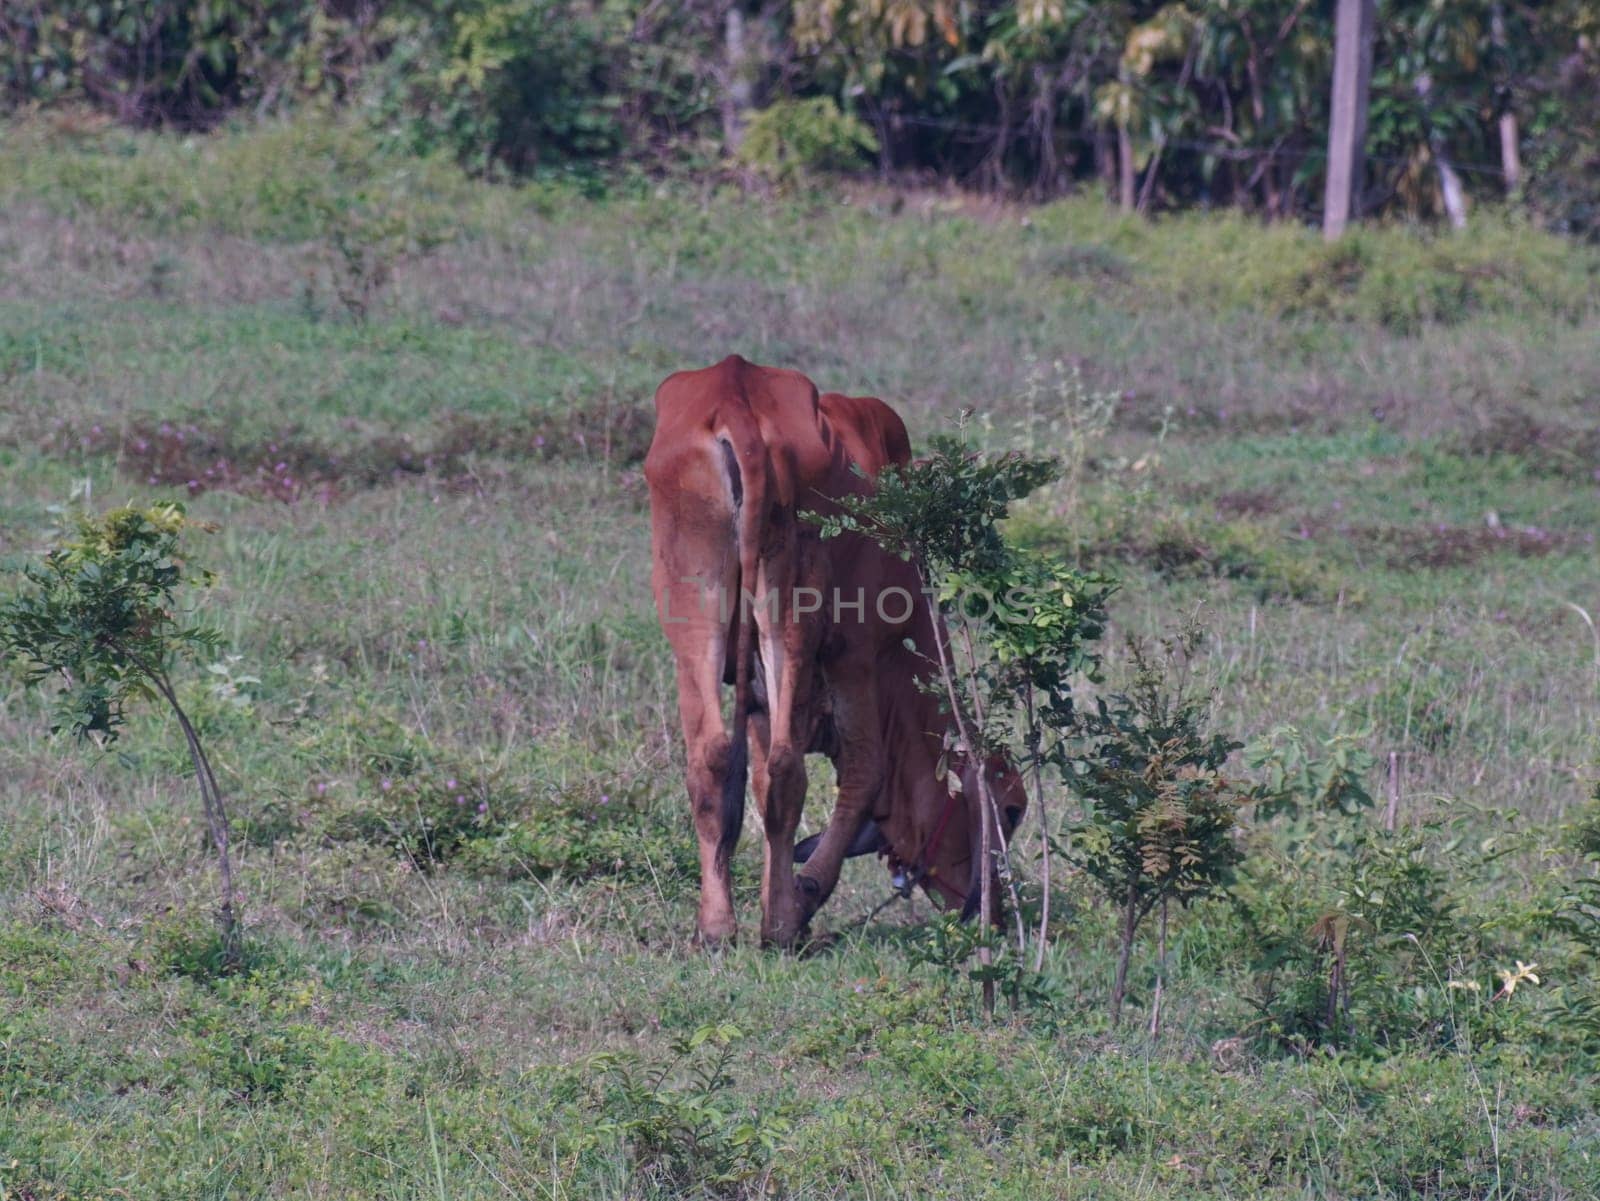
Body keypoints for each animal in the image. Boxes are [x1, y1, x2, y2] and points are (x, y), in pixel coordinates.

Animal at [646, 356, 1024, 946]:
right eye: (1011, 810)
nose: (996, 914)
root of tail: (737, 389)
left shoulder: (765, 695)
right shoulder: (857, 657)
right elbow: (865, 775)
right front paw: (802, 896)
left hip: (696, 609)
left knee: (716, 758)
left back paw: (719, 927)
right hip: (793, 607)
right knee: (785, 768)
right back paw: (779, 927)